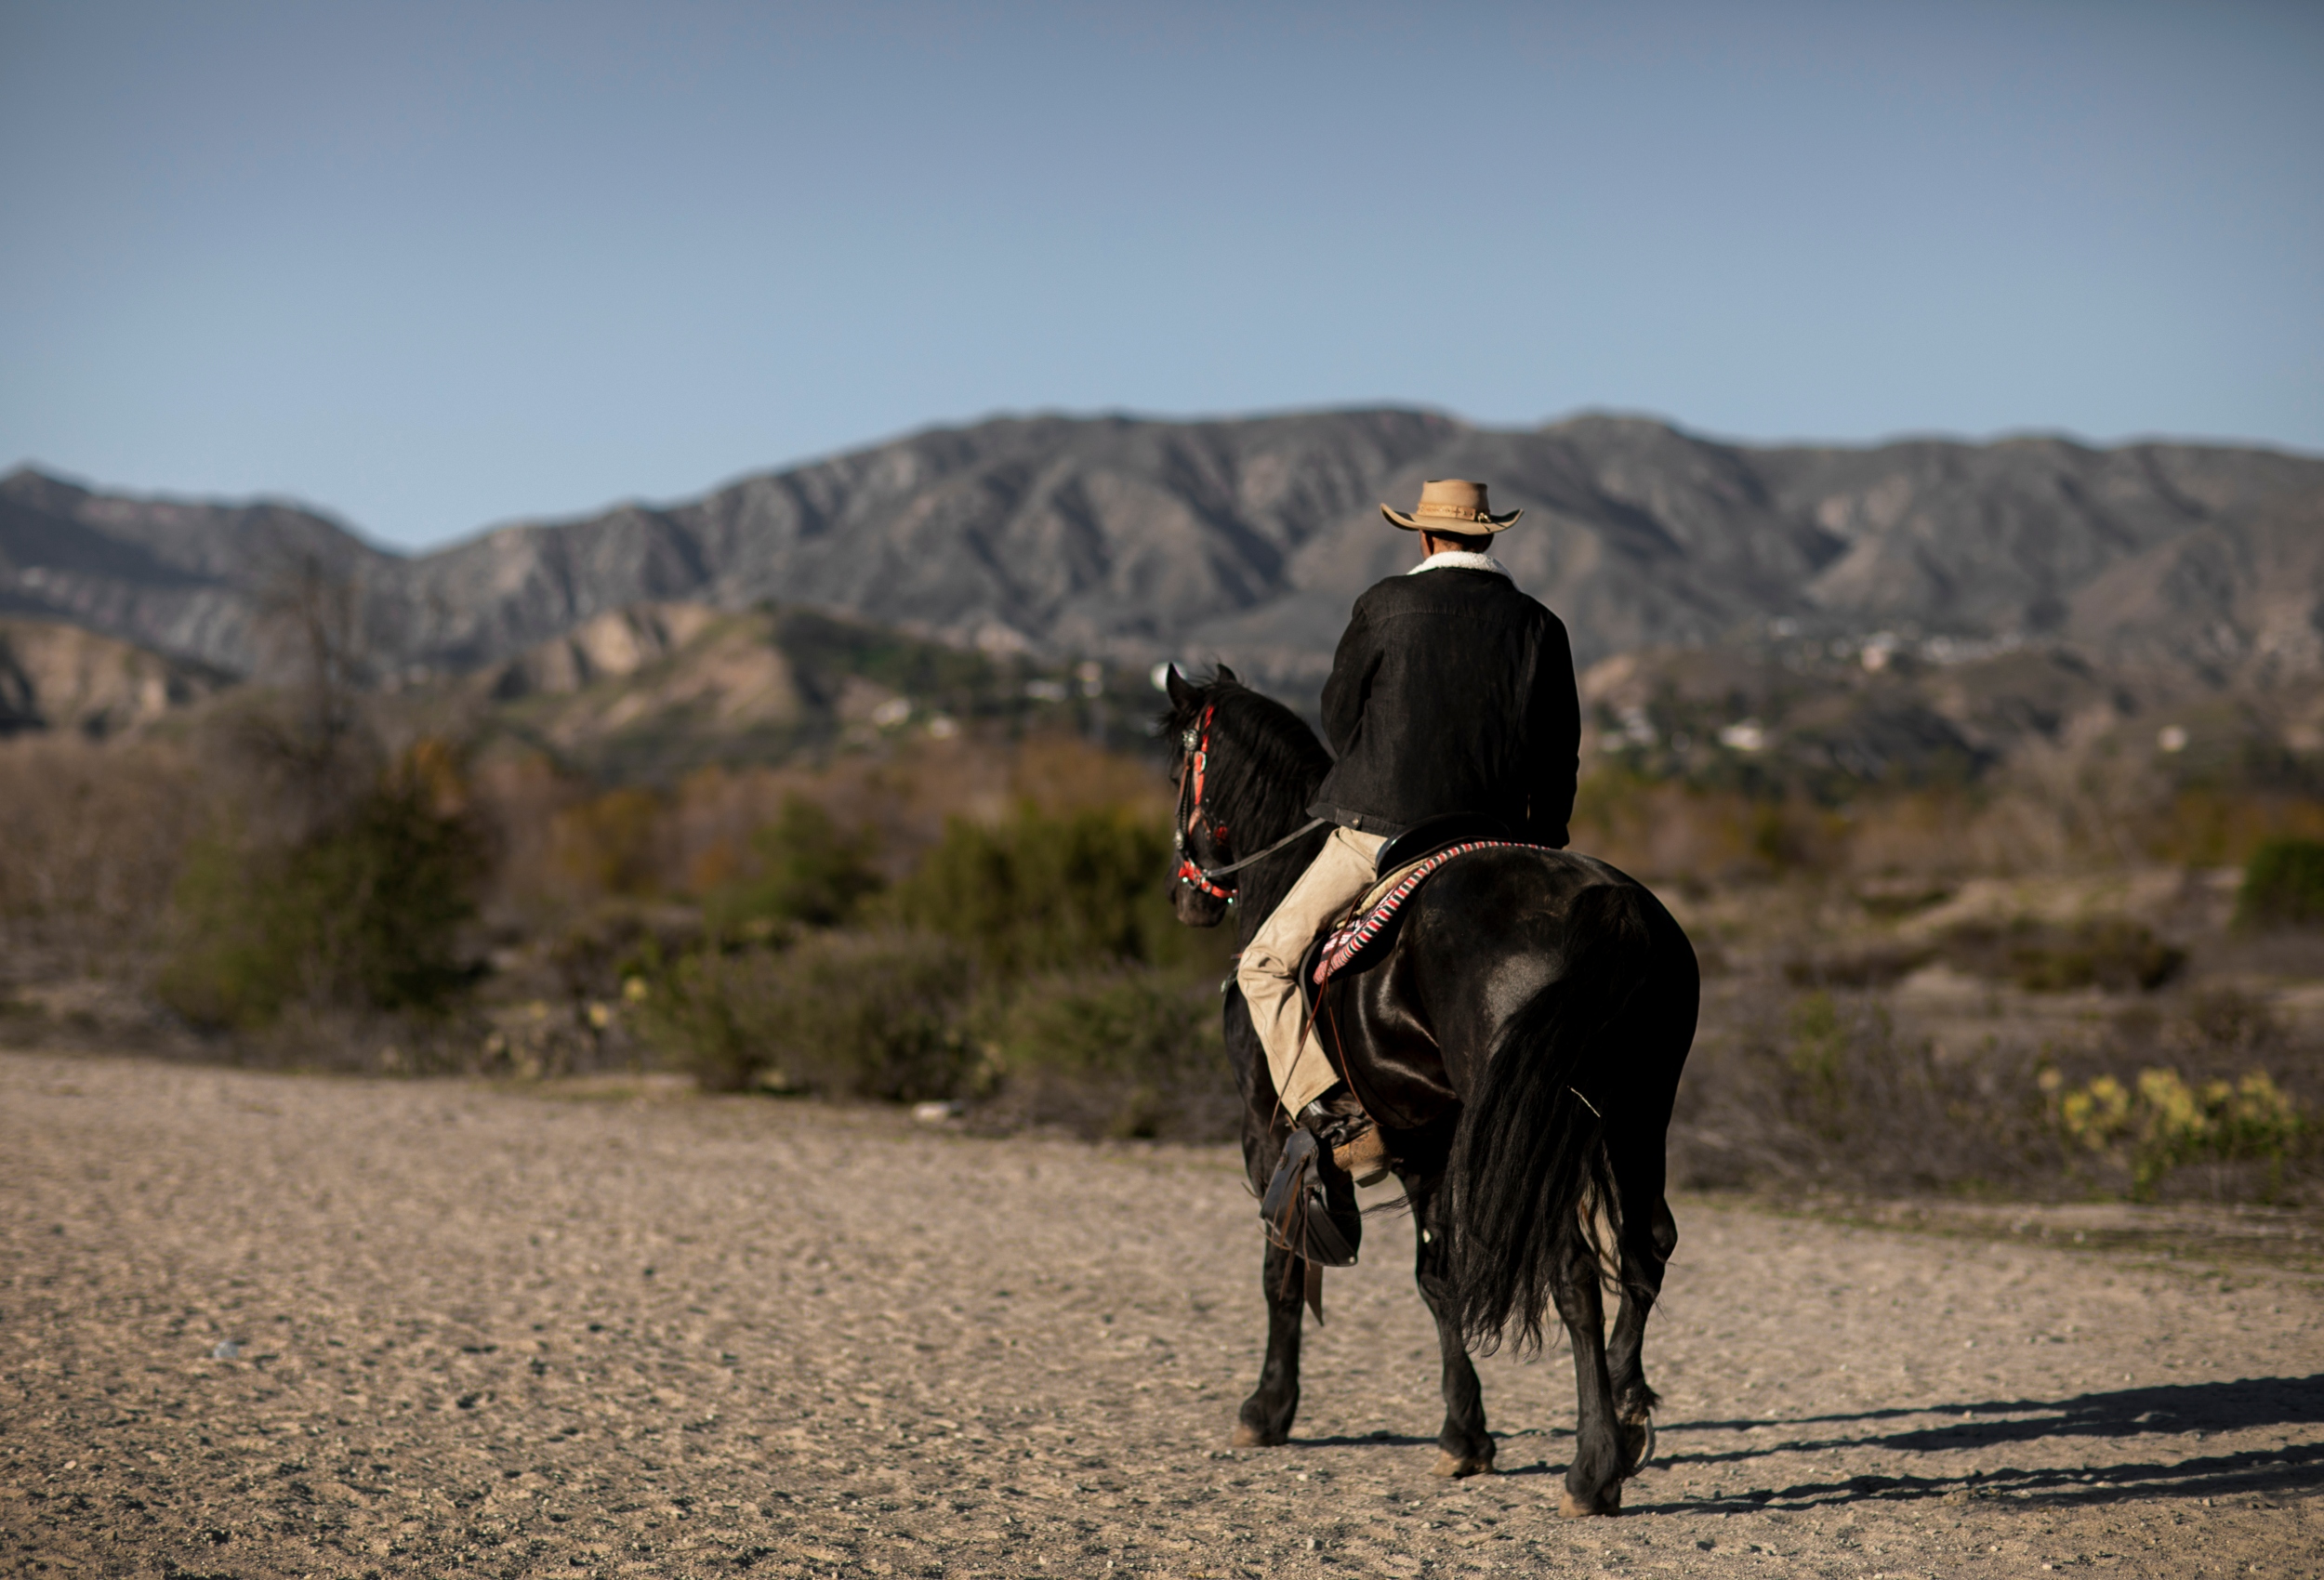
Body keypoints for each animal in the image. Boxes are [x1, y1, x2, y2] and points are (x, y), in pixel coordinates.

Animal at [1161, 665, 1700, 1517]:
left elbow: (1283, 1270)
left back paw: (1593, 1469)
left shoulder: (1266, 1131)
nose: (1186, 895)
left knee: (1575, 1271)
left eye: (1182, 767)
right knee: (1646, 1250)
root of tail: (1608, 905)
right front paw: (1465, 1434)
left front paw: (1268, 1409)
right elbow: (1436, 1277)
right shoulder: (1426, 1143)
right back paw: (1627, 1413)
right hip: (1636, 1117)